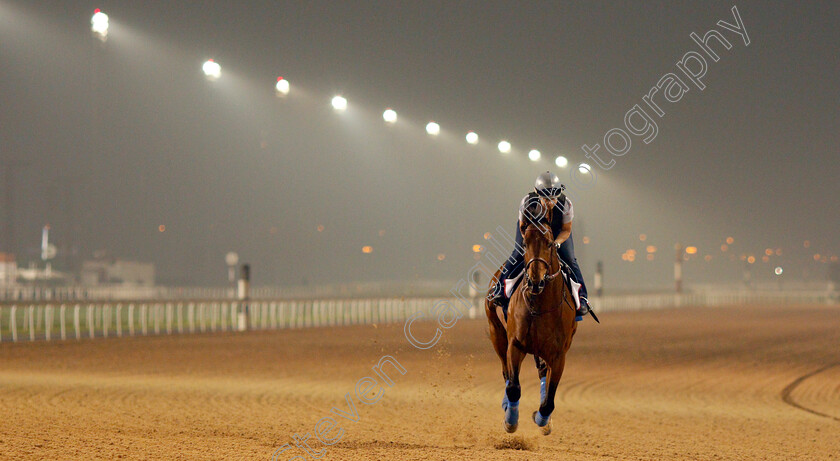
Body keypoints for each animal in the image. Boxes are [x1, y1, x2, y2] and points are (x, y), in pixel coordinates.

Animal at [486, 199, 576, 434]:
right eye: (525, 244)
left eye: (550, 243)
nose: (536, 280)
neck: (539, 306)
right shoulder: (515, 344)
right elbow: (514, 387)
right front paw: (510, 421)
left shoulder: (558, 354)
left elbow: (549, 402)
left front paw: (543, 421)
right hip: (495, 331)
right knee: (506, 374)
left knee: (542, 373)